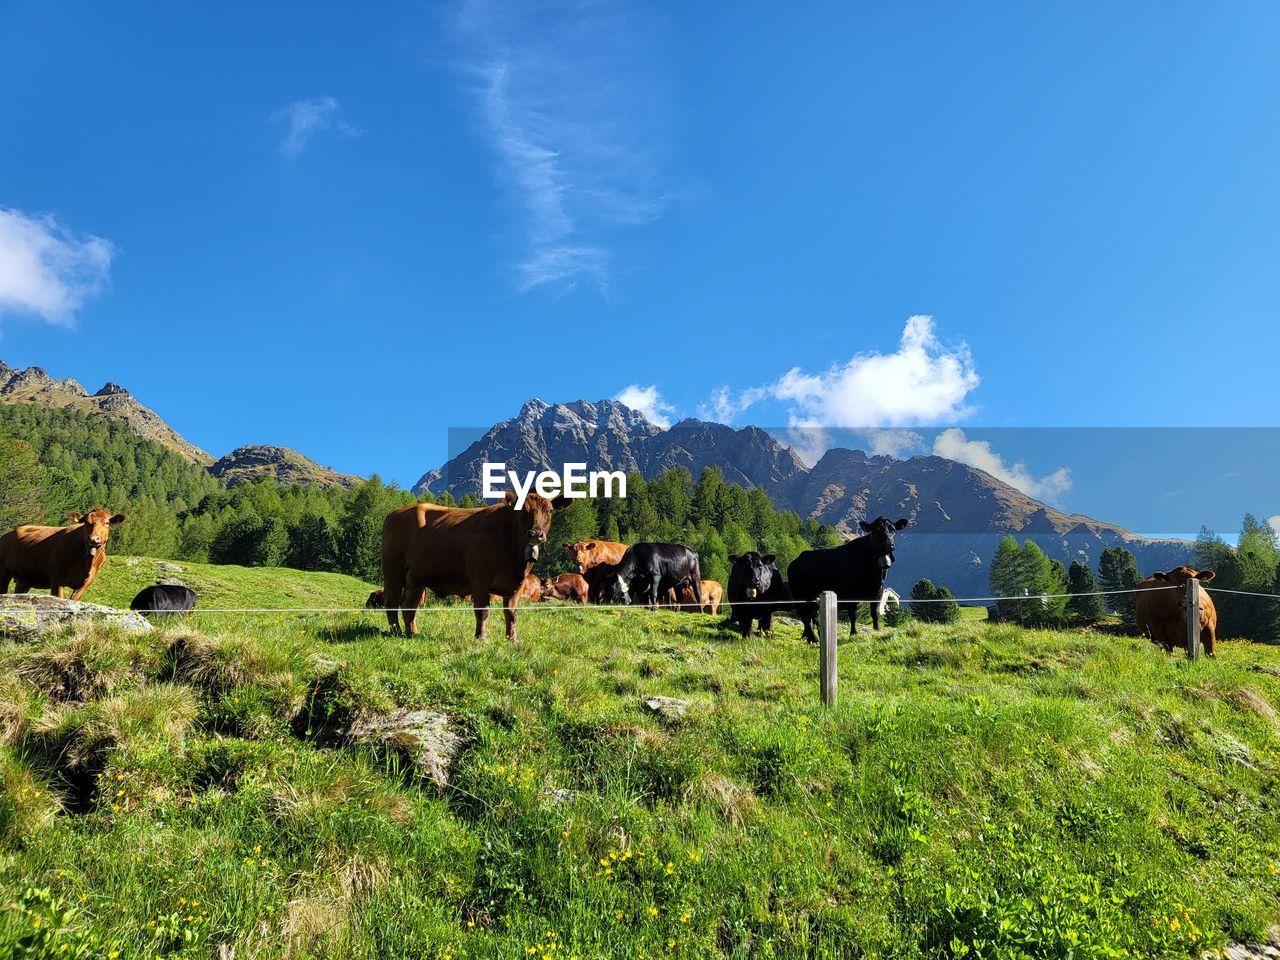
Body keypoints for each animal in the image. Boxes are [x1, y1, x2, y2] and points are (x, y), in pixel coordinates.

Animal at [373, 491, 565, 642]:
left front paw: (512, 639)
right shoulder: (480, 579)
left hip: (416, 579)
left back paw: (412, 633)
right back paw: (396, 632)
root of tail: (396, 512)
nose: (536, 534)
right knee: (392, 602)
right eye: (522, 510)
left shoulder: (517, 584)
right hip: (393, 572)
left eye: (549, 511)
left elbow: (511, 613)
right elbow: (483, 610)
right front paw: (482, 637)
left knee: (409, 606)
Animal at [783, 514, 906, 642]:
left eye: (893, 530)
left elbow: (874, 612)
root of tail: (796, 561)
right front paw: (854, 633)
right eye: (876, 530)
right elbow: (853, 614)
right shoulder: (850, 592)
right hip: (800, 596)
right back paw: (814, 639)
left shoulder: (878, 590)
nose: (889, 544)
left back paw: (811, 638)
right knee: (806, 617)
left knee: (812, 617)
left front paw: (876, 630)